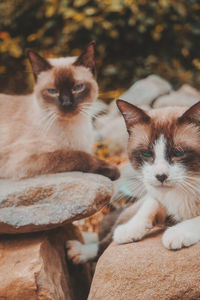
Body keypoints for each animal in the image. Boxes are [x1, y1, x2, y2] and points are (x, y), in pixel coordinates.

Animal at [0, 40, 119, 179]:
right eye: (52, 91)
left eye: (77, 88)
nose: (67, 103)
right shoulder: (23, 161)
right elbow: (76, 156)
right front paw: (112, 169)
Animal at [66, 99, 199, 264]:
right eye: (146, 154)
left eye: (178, 153)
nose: (160, 176)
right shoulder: (153, 195)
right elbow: (149, 207)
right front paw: (129, 230)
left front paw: (177, 233)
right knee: (105, 242)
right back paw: (82, 251)